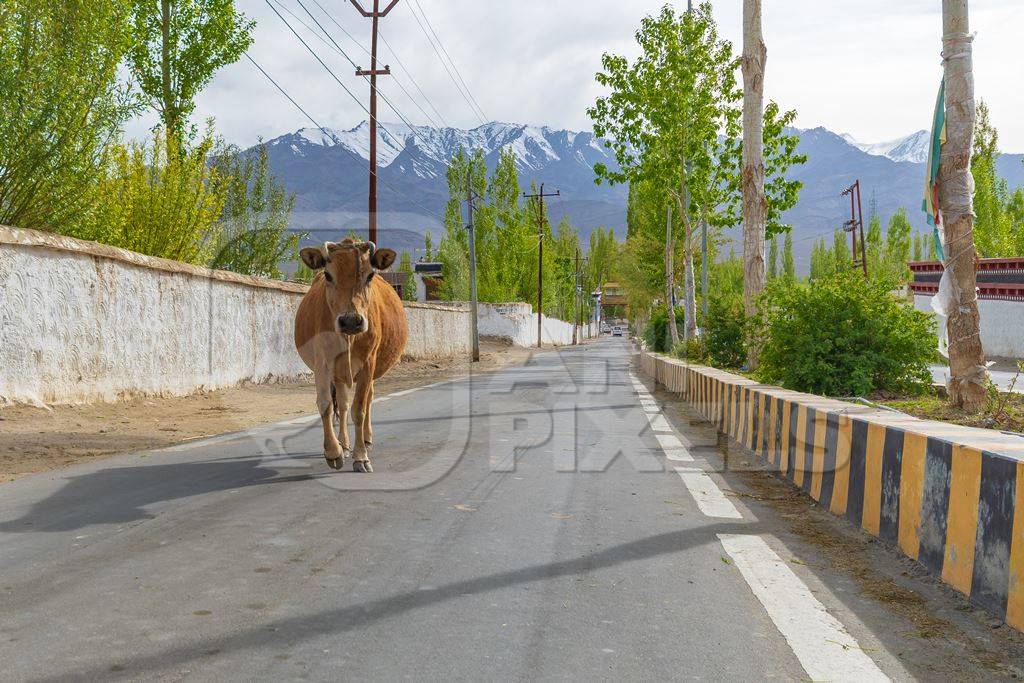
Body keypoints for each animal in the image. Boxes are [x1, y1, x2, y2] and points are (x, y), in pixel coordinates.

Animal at [292, 239, 407, 471]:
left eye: (370, 275)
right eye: (328, 275)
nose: (351, 321)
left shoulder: (368, 364)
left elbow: (360, 409)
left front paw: (361, 456)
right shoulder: (322, 363)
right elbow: (326, 404)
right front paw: (333, 451)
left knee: (368, 398)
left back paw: (366, 440)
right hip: (339, 373)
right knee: (343, 404)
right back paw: (344, 445)